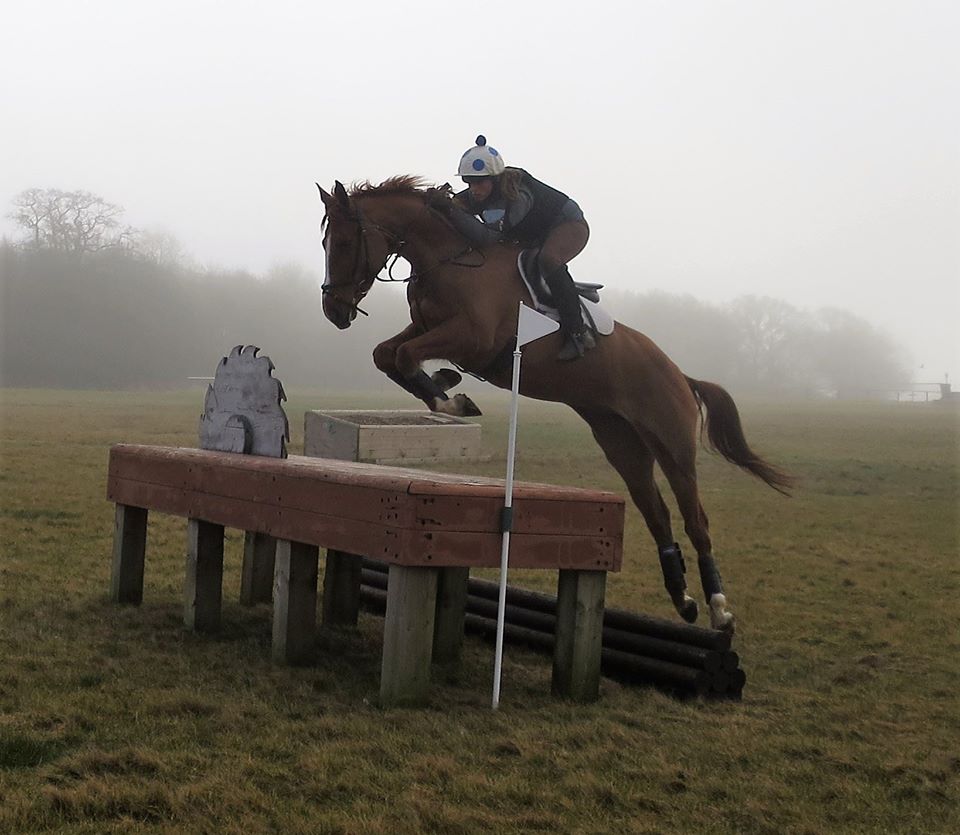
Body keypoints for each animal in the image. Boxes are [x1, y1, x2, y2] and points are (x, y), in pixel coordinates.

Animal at [318, 178, 792, 632]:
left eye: (342, 243)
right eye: (325, 244)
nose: (334, 311)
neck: (450, 259)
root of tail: (681, 375)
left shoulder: (473, 338)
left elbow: (402, 356)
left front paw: (450, 396)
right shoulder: (427, 327)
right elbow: (387, 354)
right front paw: (446, 387)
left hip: (673, 445)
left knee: (696, 521)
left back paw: (718, 609)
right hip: (621, 442)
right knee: (655, 513)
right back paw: (683, 600)